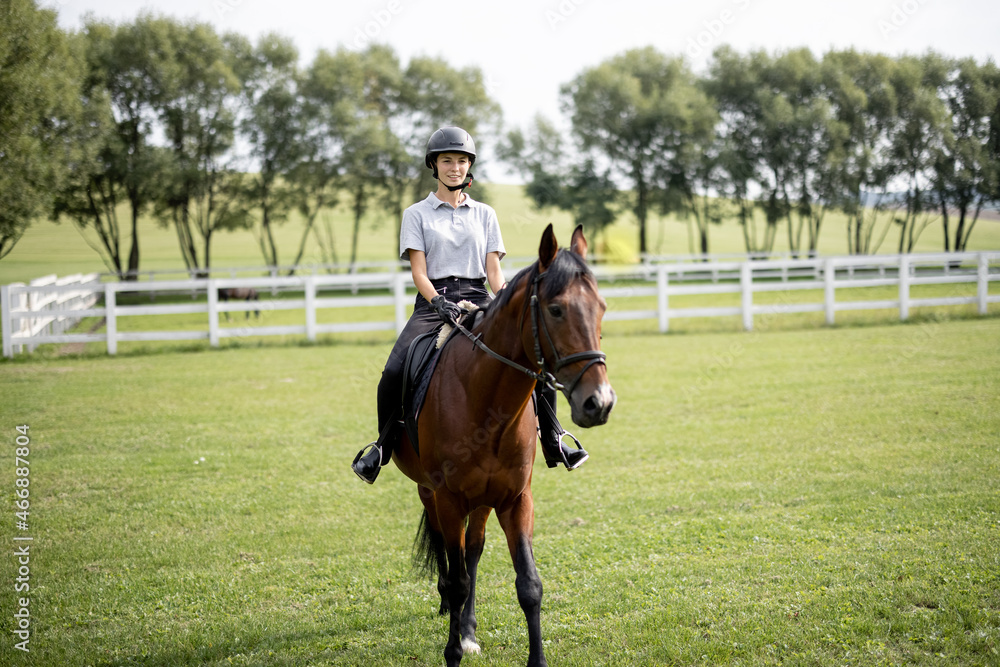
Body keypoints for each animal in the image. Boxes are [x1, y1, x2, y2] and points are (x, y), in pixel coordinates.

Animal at [392, 226, 616, 667]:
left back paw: (468, 628)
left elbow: (528, 584)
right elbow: (458, 578)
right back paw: (449, 609)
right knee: (446, 551)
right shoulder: (447, 497)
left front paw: (530, 658)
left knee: (472, 551)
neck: (485, 400)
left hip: (482, 499)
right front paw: (453, 651)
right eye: (556, 310)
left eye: (600, 307)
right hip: (429, 490)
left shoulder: (516, 498)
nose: (598, 403)